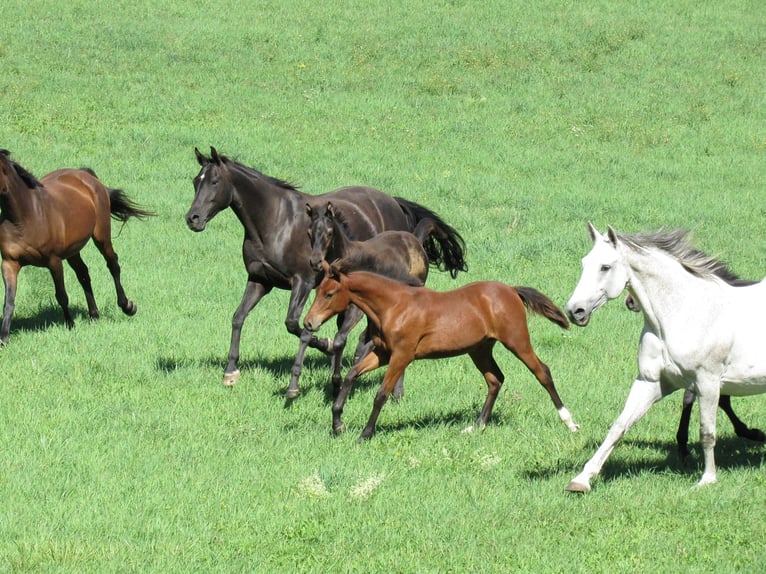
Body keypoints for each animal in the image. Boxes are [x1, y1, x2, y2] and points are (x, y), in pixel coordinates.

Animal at [0, 150, 152, 344]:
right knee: (84, 274)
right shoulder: (10, 263)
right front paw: (4, 338)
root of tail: (85, 175)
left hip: (101, 237)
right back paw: (94, 315)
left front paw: (70, 325)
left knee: (113, 264)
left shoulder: (54, 261)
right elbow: (9, 301)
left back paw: (127, 306)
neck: (25, 216)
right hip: (73, 251)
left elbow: (61, 295)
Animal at [302, 201, 442, 397]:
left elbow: (340, 339)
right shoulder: (339, 308)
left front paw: (337, 383)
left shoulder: (355, 308)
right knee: (366, 338)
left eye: (329, 232)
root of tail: (414, 238)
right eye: (309, 233)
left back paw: (397, 392)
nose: (315, 262)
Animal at [304, 260, 580, 442]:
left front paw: (365, 434)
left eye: (330, 294)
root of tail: (511, 290)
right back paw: (477, 426)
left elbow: (381, 394)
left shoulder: (402, 356)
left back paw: (569, 422)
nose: (309, 323)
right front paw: (337, 423)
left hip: (517, 341)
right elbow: (351, 375)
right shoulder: (383, 355)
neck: (393, 306)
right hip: (479, 349)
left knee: (542, 372)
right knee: (495, 379)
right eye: (317, 291)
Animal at [564, 223, 766, 492]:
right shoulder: (652, 383)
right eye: (584, 263)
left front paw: (707, 479)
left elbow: (706, 432)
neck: (682, 313)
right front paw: (582, 479)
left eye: (605, 267)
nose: (574, 311)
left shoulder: (708, 383)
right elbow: (619, 426)